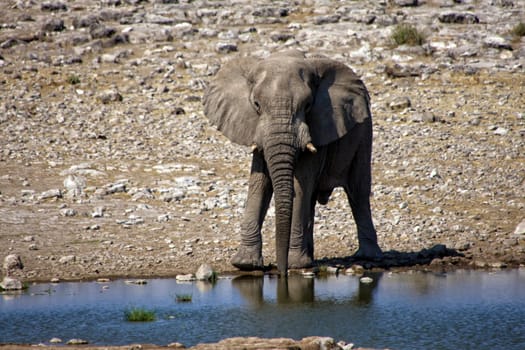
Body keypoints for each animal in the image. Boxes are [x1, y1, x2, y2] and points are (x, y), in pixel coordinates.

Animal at [204, 49, 380, 274]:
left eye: (307, 105)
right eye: (256, 105)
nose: (279, 272)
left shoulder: (320, 129)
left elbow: (299, 184)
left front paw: (295, 265)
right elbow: (260, 184)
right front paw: (245, 264)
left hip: (364, 132)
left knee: (358, 192)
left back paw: (367, 256)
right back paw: (311, 258)